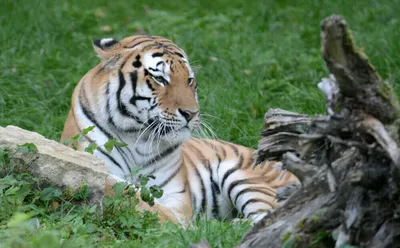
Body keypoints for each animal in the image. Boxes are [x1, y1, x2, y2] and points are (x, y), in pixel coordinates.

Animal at [61, 35, 298, 225]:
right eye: (159, 78)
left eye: (190, 80)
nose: (191, 114)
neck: (135, 134)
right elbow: (125, 192)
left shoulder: (174, 193)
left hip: (244, 177)